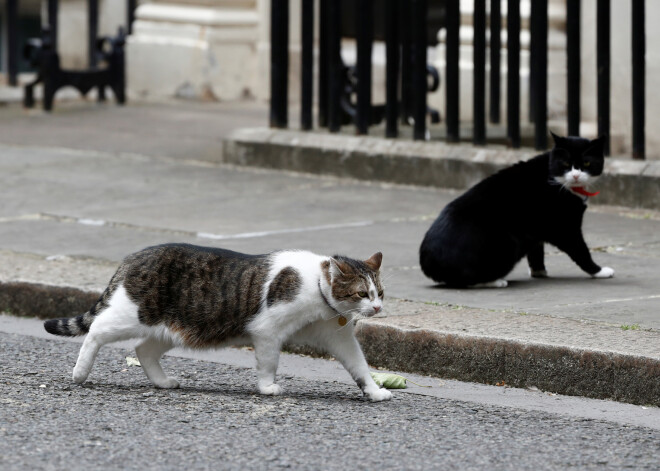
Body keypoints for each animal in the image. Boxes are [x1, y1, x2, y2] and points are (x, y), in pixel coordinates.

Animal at [43, 245, 392, 404]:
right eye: (362, 293)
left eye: (381, 292)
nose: (377, 307)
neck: (318, 287)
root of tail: (135, 256)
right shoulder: (268, 330)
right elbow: (269, 362)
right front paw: (267, 388)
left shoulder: (338, 336)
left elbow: (359, 364)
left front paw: (374, 391)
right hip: (133, 314)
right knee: (96, 330)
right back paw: (80, 372)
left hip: (175, 327)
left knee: (144, 349)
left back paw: (162, 381)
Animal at [420, 131, 616, 290]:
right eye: (566, 163)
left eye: (587, 163)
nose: (575, 175)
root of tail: (429, 262)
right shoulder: (565, 228)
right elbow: (581, 250)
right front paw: (599, 271)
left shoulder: (536, 229)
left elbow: (536, 250)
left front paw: (538, 272)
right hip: (507, 243)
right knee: (466, 280)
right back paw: (496, 281)